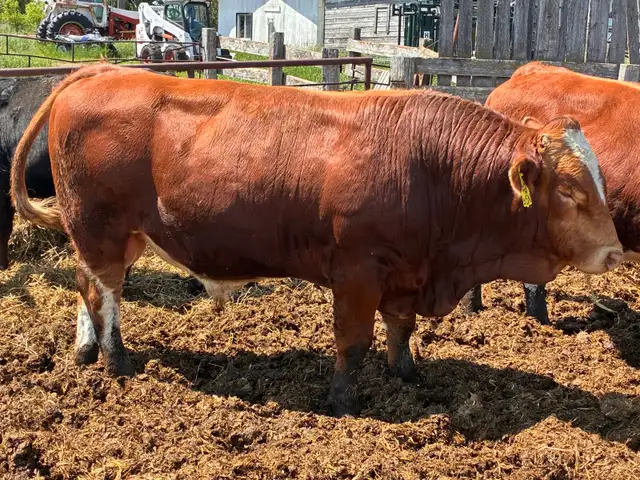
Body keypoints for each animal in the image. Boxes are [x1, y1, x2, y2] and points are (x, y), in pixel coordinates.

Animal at [11, 64, 623, 416]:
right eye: (569, 190)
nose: (615, 250)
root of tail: (98, 73)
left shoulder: (406, 271)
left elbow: (400, 331)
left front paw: (408, 377)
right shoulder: (357, 271)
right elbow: (353, 342)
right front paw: (343, 400)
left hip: (117, 235)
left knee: (90, 285)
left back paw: (88, 351)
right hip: (101, 227)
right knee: (103, 292)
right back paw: (117, 360)